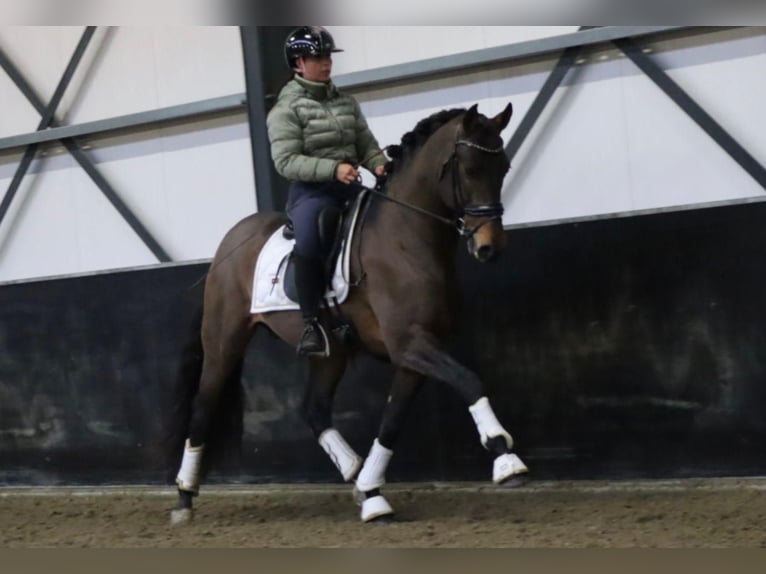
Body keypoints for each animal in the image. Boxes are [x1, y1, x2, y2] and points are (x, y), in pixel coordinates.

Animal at [165, 102, 528, 525]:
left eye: (503, 167)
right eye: (469, 170)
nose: (490, 247)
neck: (405, 240)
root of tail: (228, 245)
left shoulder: (414, 352)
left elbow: (392, 421)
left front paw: (372, 494)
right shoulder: (410, 343)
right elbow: (469, 380)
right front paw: (506, 458)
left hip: (330, 354)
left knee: (315, 410)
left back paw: (355, 472)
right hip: (224, 342)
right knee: (203, 408)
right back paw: (184, 497)